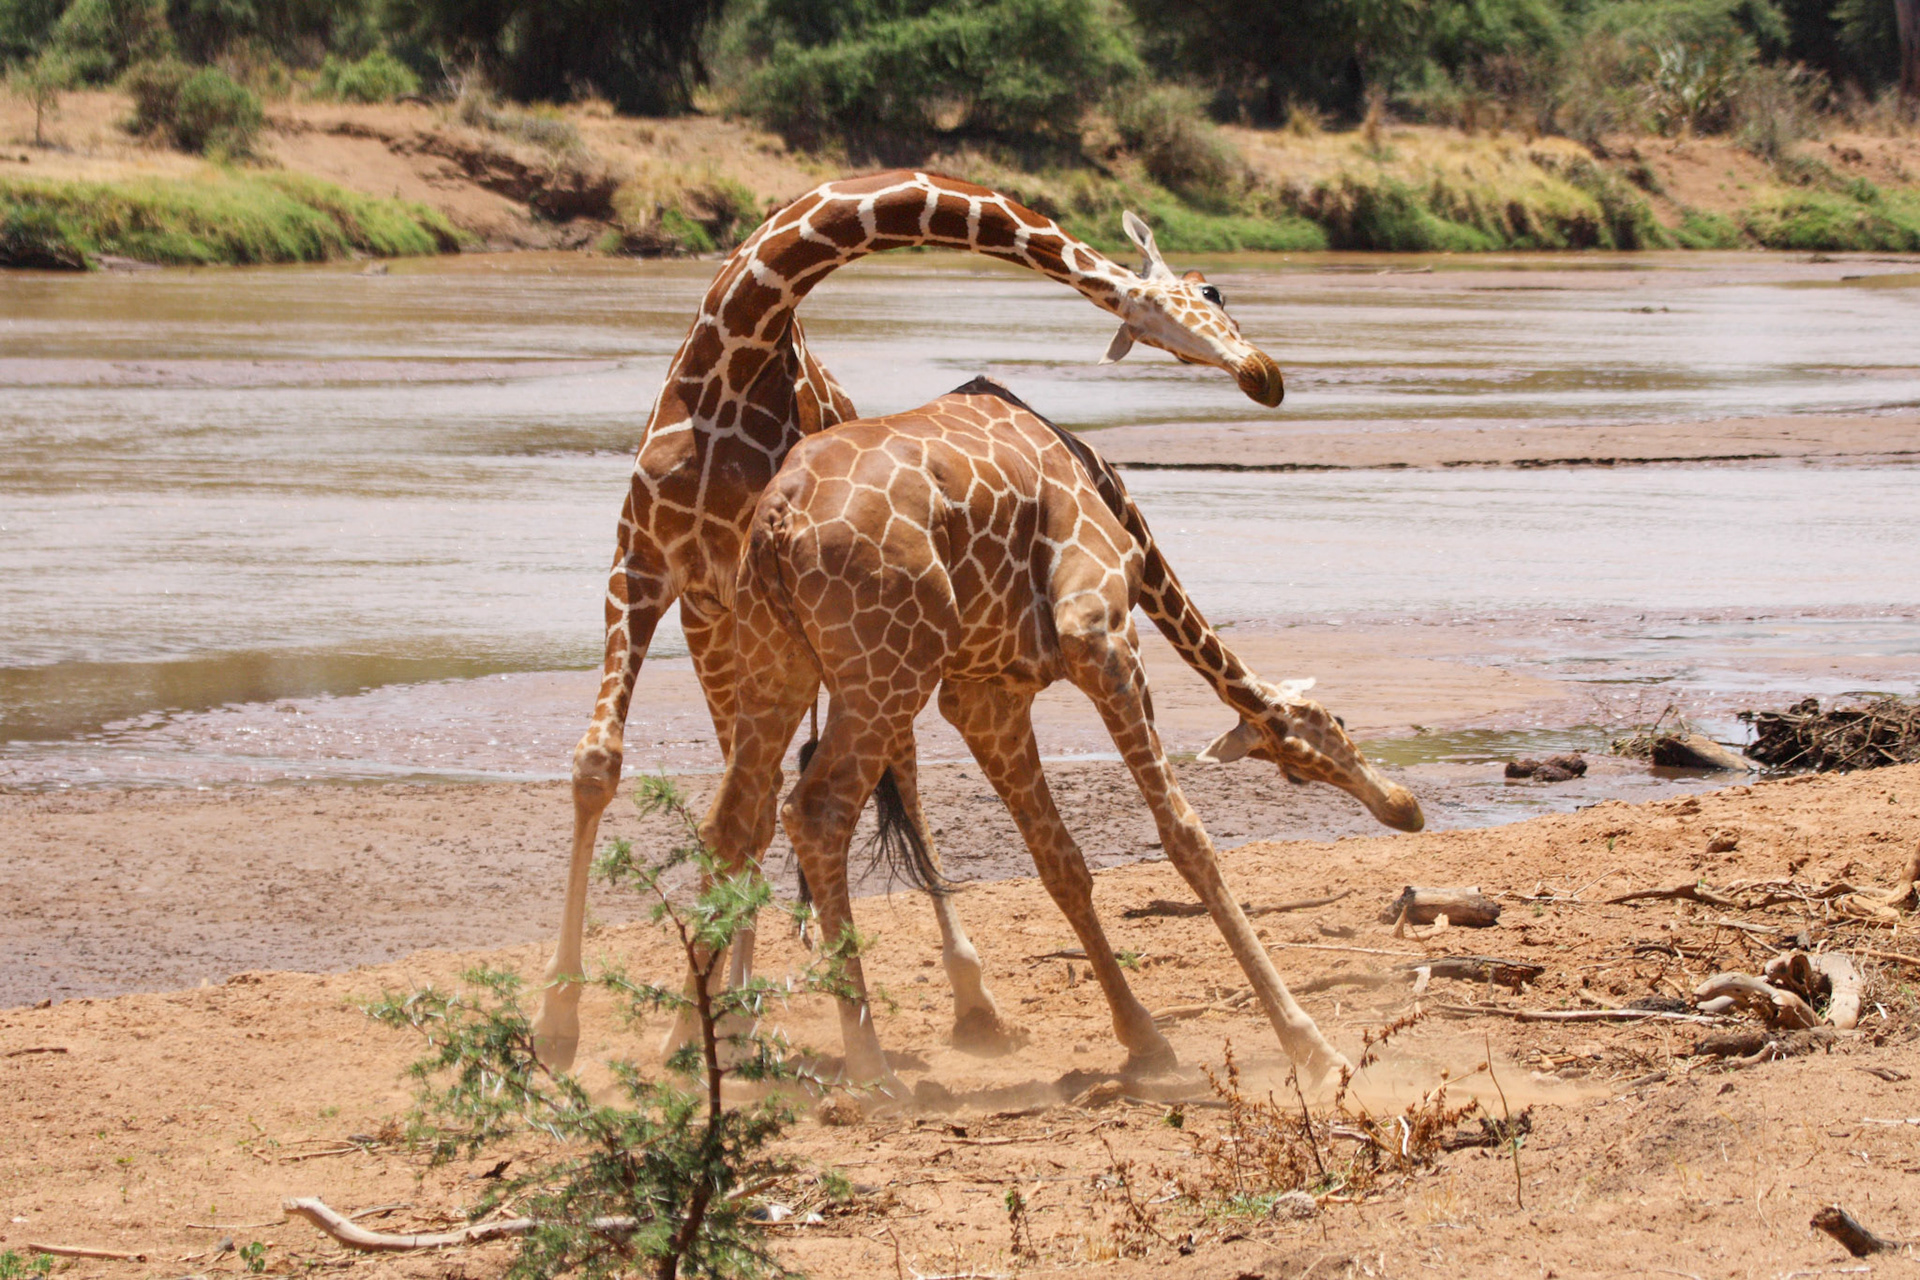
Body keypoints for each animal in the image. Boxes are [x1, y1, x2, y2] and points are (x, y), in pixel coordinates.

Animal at [531, 170, 1289, 1072]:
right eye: (1212, 291)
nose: (1264, 373)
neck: (737, 347)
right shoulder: (643, 567)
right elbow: (598, 766)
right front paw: (559, 1023)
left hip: (836, 647)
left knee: (855, 784)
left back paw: (958, 1001)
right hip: (739, 632)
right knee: (762, 800)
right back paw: (727, 1014)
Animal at [706, 376, 1423, 1094]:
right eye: (1331, 729)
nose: (1405, 807)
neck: (1105, 486)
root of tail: (779, 517)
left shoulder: (987, 695)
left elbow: (1062, 864)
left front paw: (1145, 1040)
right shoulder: (1098, 634)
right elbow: (1186, 837)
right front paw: (1311, 1046)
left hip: (775, 663)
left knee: (733, 820)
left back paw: (701, 1046)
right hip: (886, 672)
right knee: (816, 811)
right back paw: (873, 1071)